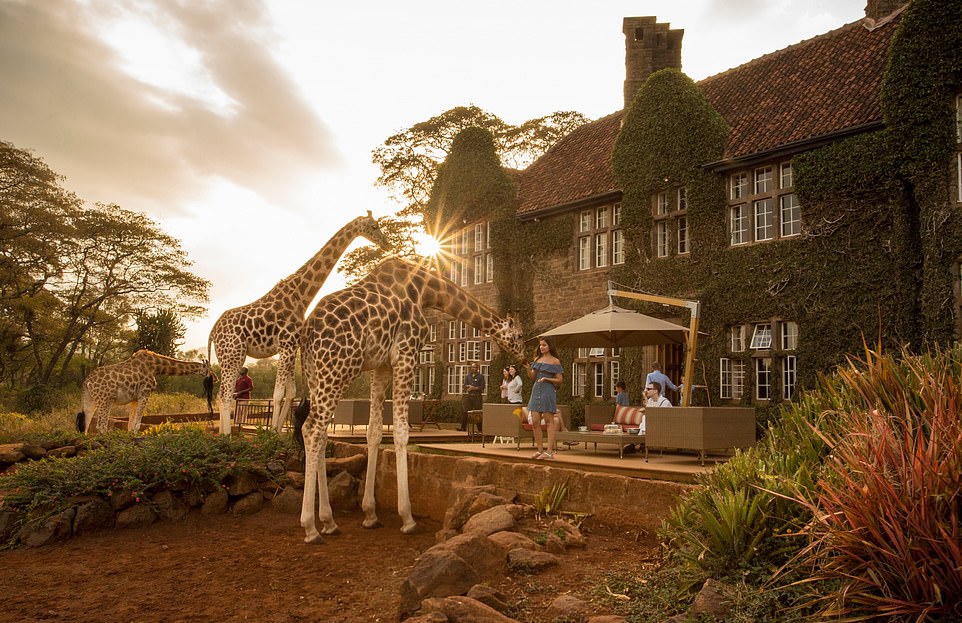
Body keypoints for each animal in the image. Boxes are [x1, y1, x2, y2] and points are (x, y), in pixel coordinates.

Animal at [77, 349, 215, 433]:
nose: (217, 378)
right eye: (210, 370)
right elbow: (137, 422)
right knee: (100, 425)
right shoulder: (145, 393)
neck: (157, 367)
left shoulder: (134, 398)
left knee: (86, 424)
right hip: (105, 400)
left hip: (90, 400)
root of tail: (87, 382)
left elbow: (131, 423)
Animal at [206, 212, 388, 435]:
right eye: (374, 226)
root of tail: (213, 331)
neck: (301, 296)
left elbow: (290, 392)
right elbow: (278, 393)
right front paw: (270, 433)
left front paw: (278, 432)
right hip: (232, 354)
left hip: (232, 356)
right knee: (224, 394)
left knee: (223, 393)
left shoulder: (292, 346)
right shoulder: (286, 344)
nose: (386, 243)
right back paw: (227, 435)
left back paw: (223, 433)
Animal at [298, 257, 526, 543]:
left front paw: (370, 514)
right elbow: (401, 432)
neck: (426, 291)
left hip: (314, 374)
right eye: (519, 335)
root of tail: (307, 331)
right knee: (312, 429)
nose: (525, 357)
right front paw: (407, 518)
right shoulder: (406, 354)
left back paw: (329, 521)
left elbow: (374, 432)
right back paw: (310, 527)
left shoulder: (381, 366)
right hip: (338, 369)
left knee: (320, 433)